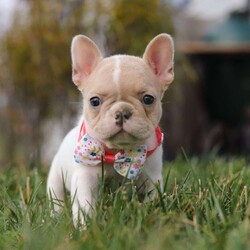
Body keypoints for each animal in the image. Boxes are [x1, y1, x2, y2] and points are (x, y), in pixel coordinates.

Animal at [46, 33, 174, 227]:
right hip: (55, 178)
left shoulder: (152, 177)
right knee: (57, 198)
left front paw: (151, 215)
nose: (122, 111)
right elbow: (85, 203)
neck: (117, 151)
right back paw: (55, 217)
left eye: (148, 99)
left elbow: (152, 198)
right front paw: (85, 226)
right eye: (94, 101)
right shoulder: (85, 177)